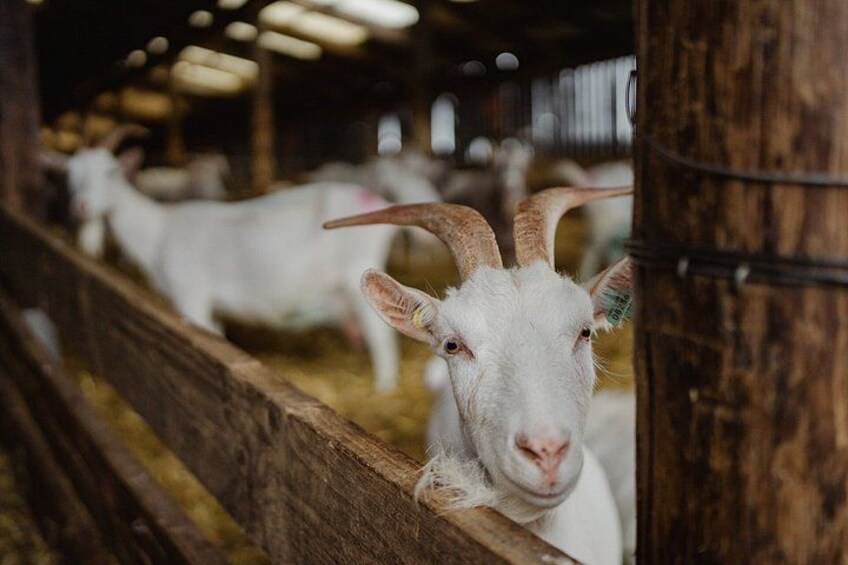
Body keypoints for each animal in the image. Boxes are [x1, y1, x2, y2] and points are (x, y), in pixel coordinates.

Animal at [47, 127, 403, 391]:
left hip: (357, 271)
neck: (160, 230)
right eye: (70, 175)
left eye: (111, 172)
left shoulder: (191, 294)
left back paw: (383, 389)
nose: (81, 206)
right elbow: (216, 336)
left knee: (381, 335)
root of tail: (375, 200)